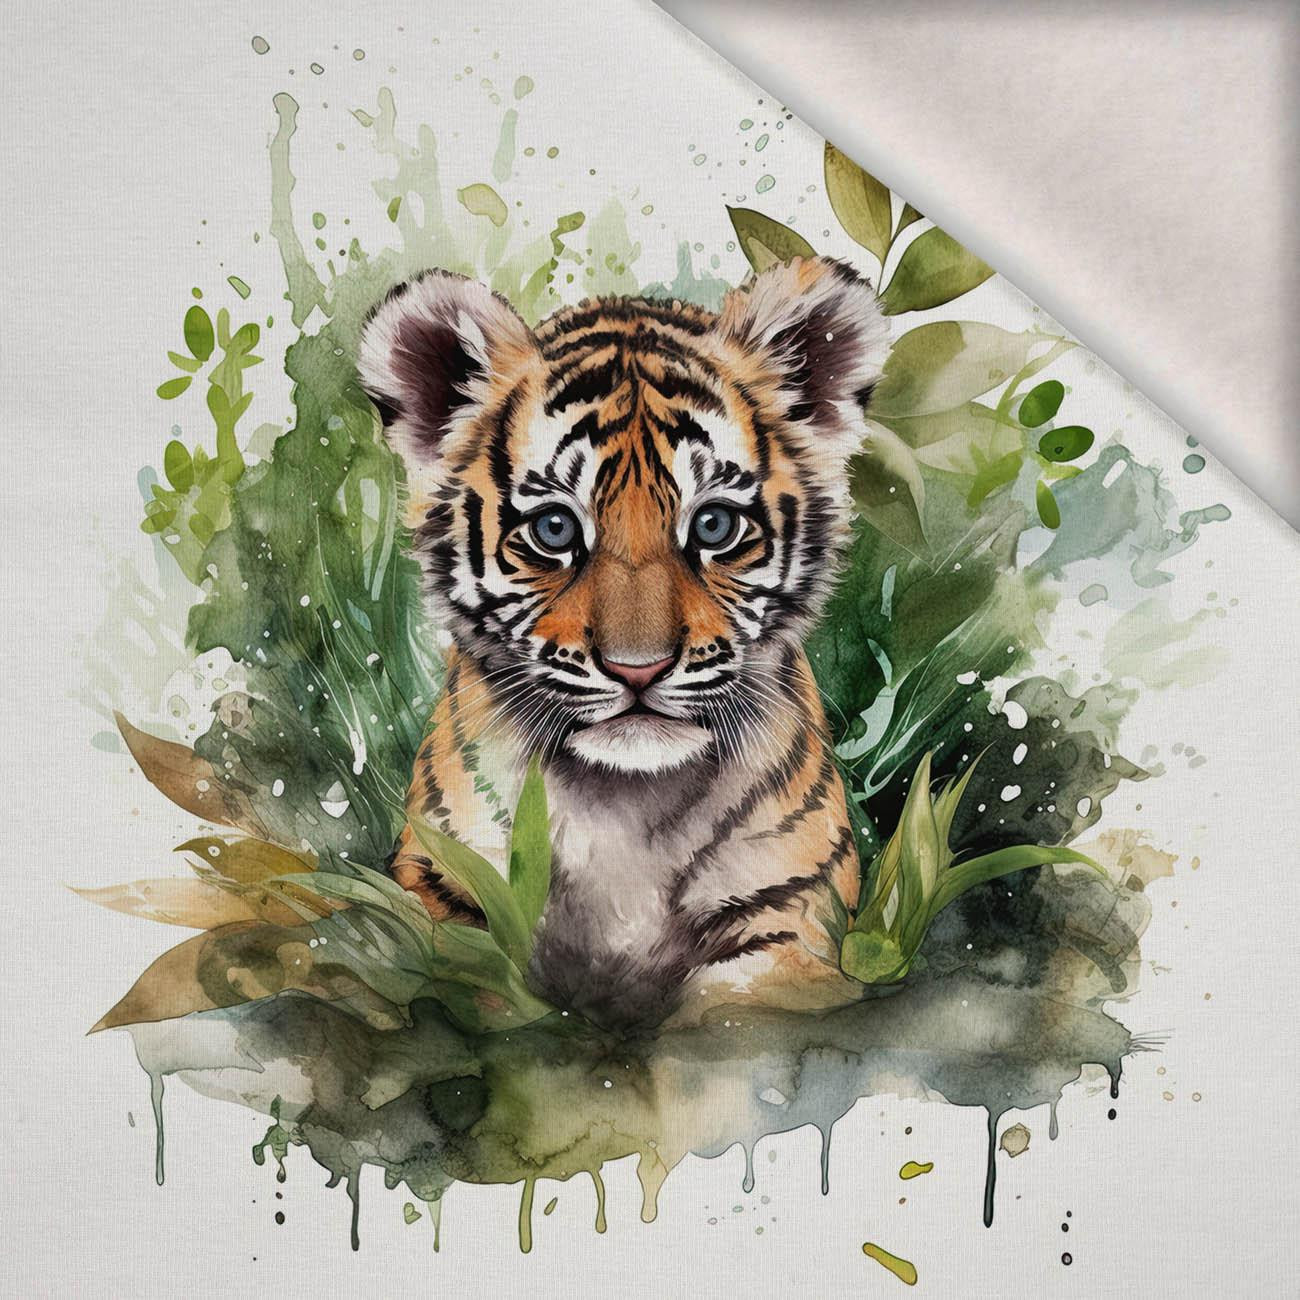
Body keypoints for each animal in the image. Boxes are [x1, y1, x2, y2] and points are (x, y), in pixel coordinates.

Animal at [356, 254, 890, 1028]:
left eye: (714, 525)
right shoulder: (445, 888)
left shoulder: (787, 917)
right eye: (554, 530)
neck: (626, 806)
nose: (639, 670)